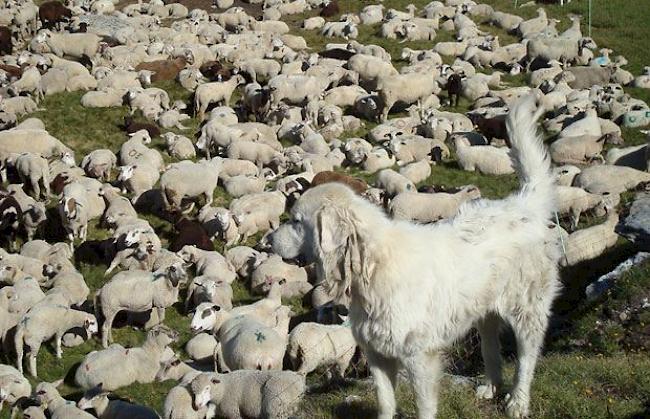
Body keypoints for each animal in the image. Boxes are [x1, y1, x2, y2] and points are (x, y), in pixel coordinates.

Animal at [268, 95, 560, 419]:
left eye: (296, 221)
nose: (269, 240)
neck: (372, 266)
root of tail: (522, 205)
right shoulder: (377, 353)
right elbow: (385, 401)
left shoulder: (419, 356)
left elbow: (424, 406)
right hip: (484, 308)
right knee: (489, 344)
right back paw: (491, 387)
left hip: (527, 308)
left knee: (527, 356)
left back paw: (517, 401)